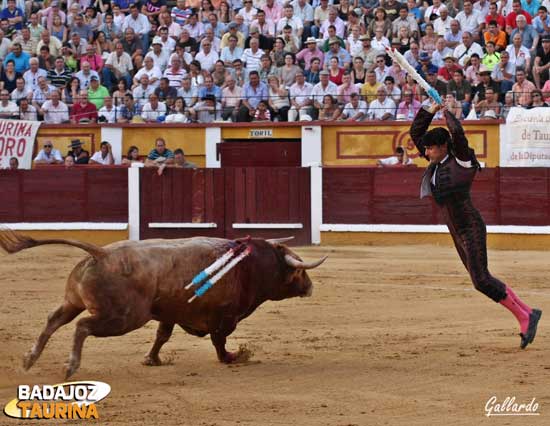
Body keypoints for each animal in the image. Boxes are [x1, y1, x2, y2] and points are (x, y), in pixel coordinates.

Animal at [0, 230, 328, 380]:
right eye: (299, 272)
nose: (310, 287)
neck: (252, 266)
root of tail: (101, 253)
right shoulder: (226, 315)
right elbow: (219, 340)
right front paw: (234, 357)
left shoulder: (170, 312)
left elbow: (162, 336)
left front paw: (152, 359)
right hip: (125, 317)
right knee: (82, 327)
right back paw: (70, 366)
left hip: (73, 301)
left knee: (54, 320)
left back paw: (29, 359)